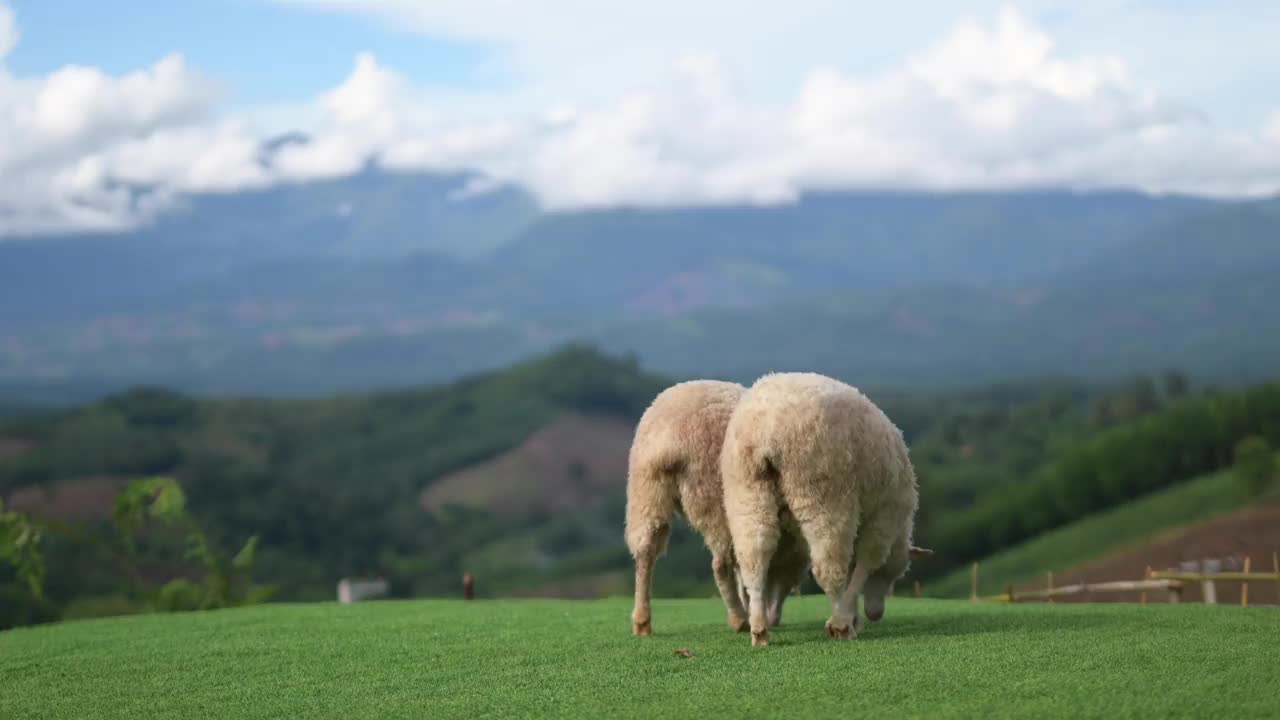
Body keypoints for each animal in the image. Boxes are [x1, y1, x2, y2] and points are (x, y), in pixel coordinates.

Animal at [622, 376, 808, 632]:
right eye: (790, 576)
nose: (774, 619)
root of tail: (669, 438)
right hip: (715, 498)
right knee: (720, 565)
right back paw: (739, 620)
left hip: (645, 493)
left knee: (644, 552)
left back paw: (642, 622)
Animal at [721, 368, 921, 645]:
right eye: (893, 576)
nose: (876, 614)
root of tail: (767, 432)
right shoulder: (883, 520)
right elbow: (862, 567)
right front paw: (849, 617)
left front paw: (854, 617)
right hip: (824, 495)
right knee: (829, 568)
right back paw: (839, 624)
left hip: (746, 494)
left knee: (754, 558)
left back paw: (759, 629)